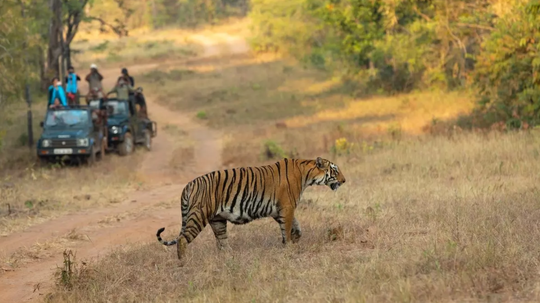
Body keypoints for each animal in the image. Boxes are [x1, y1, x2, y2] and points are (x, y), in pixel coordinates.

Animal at [155, 158, 346, 262]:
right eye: (335, 171)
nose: (344, 180)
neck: (307, 174)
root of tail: (189, 184)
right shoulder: (287, 207)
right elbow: (287, 228)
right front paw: (289, 247)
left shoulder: (279, 210)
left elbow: (296, 226)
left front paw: (296, 238)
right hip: (199, 215)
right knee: (182, 239)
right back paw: (183, 262)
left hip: (217, 220)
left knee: (222, 243)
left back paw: (230, 258)